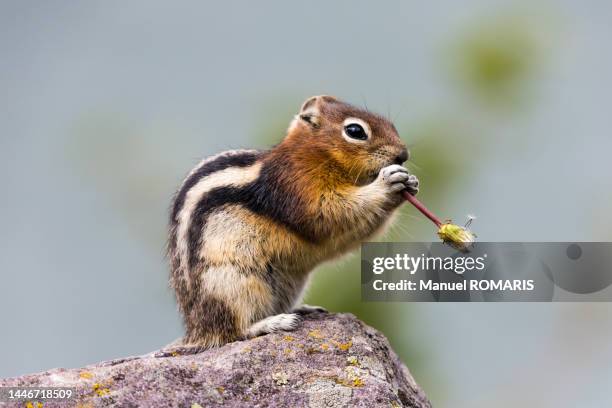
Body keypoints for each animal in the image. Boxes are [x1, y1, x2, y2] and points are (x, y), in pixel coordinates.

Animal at [167, 95, 416, 348]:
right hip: (232, 284)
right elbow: (329, 214)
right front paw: (386, 183)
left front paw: (411, 182)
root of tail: (196, 330)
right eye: (355, 131)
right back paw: (271, 323)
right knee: (232, 332)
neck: (316, 154)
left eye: (390, 124)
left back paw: (303, 310)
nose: (403, 155)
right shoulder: (297, 186)